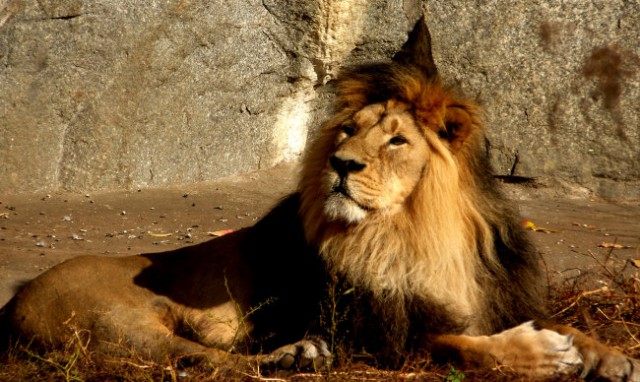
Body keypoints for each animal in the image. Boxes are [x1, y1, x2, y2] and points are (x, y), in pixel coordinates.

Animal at [1, 17, 640, 380]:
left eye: (396, 140)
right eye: (347, 131)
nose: (341, 163)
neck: (421, 231)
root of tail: (16, 297)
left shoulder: (496, 296)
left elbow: (562, 329)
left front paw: (610, 355)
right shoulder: (379, 336)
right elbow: (465, 347)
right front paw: (547, 356)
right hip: (124, 325)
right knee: (206, 360)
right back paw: (293, 357)